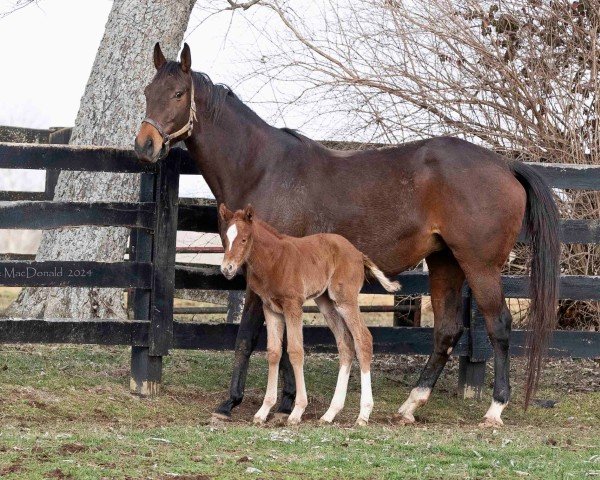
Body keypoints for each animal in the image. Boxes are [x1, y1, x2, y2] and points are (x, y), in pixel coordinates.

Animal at [218, 204, 400, 426]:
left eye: (244, 239)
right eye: (225, 238)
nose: (227, 269)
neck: (274, 260)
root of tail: (358, 253)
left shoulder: (293, 305)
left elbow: (296, 352)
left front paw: (297, 411)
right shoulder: (270, 308)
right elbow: (274, 352)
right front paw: (263, 410)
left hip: (345, 300)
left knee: (363, 339)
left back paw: (363, 415)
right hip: (327, 303)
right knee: (345, 344)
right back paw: (330, 413)